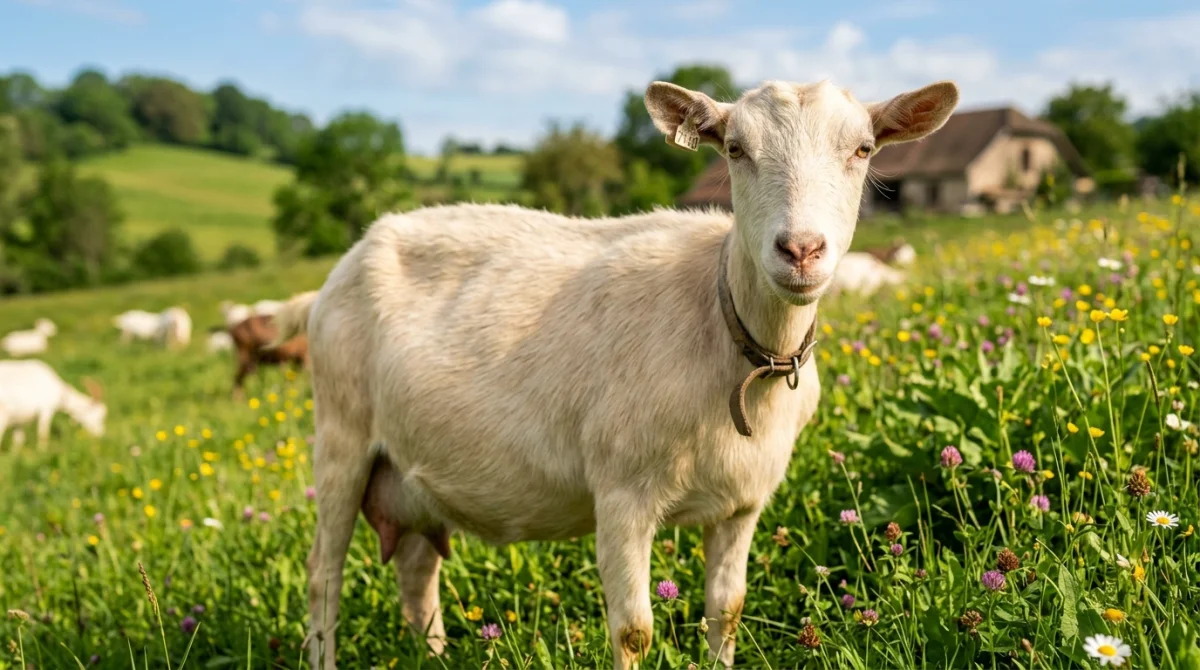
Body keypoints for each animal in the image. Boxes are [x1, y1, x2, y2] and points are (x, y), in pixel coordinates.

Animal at [277, 78, 958, 669]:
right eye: (735, 149)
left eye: (863, 149)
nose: (801, 250)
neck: (727, 332)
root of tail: (353, 255)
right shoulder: (622, 492)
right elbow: (633, 631)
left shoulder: (743, 502)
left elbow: (728, 610)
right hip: (340, 434)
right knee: (323, 575)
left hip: (410, 472)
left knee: (418, 574)